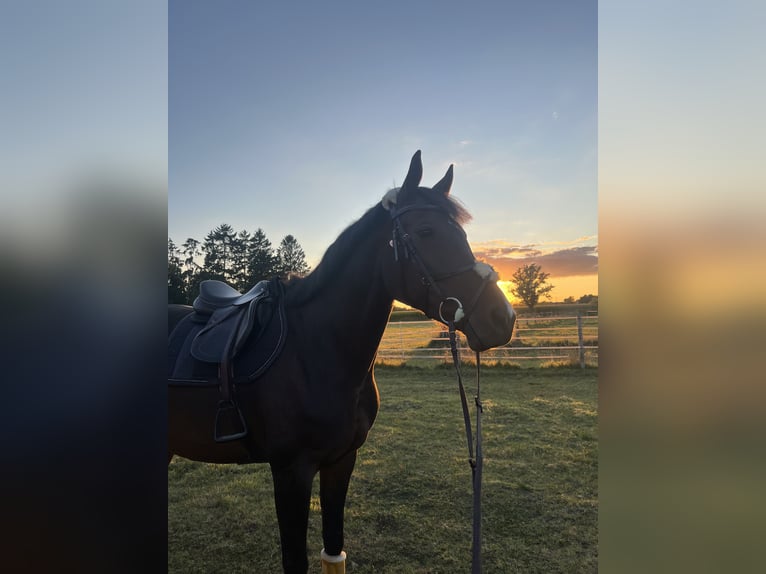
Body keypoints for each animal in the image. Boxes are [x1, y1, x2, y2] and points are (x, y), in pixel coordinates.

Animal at [168, 151, 516, 573]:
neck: (316, 351)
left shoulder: (342, 461)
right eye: (426, 231)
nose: (503, 319)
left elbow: (334, 551)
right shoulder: (291, 472)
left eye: (462, 235)